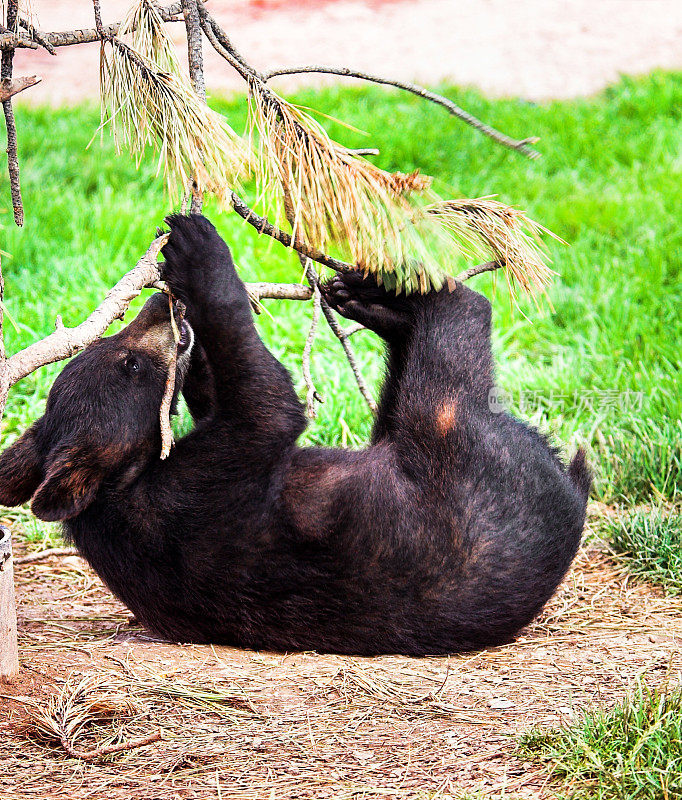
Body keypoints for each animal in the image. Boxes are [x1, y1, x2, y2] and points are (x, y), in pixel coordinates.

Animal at [0, 214, 588, 656]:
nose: (156, 307)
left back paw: (366, 296)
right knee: (451, 353)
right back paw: (415, 289)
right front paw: (200, 254)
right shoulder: (188, 499)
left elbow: (224, 397)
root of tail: (574, 493)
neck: (117, 488)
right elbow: (268, 406)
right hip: (462, 455)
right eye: (131, 365)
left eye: (115, 349)